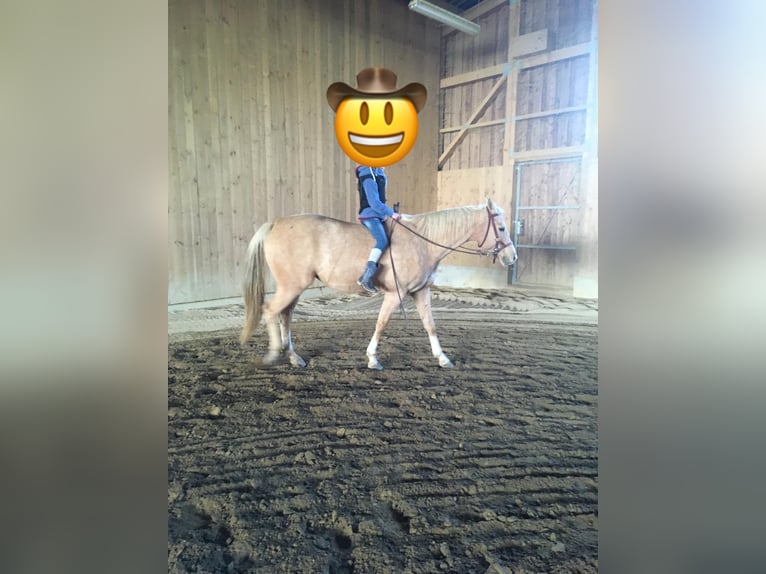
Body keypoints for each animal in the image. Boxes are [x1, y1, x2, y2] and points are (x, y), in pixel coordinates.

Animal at [239, 197, 518, 370]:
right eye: (502, 228)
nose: (512, 257)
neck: (422, 242)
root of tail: (275, 223)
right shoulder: (396, 294)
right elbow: (381, 324)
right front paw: (373, 358)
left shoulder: (421, 292)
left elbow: (430, 325)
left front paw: (442, 358)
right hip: (291, 286)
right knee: (270, 311)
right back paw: (274, 354)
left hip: (294, 287)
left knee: (284, 316)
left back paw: (293, 357)